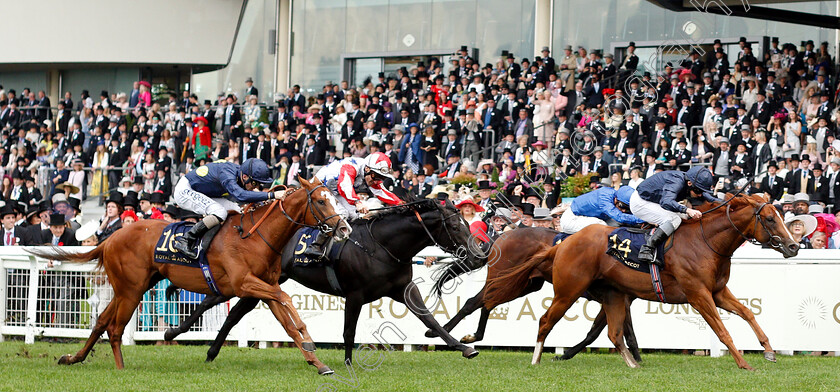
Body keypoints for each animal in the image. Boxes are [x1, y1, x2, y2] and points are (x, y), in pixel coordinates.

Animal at [26, 178, 348, 370]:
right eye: (321, 201)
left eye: (334, 198)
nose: (344, 227)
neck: (256, 236)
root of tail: (111, 237)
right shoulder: (245, 284)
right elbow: (286, 299)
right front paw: (310, 341)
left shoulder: (261, 287)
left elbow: (288, 323)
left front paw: (317, 362)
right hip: (131, 289)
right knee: (115, 328)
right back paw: (120, 369)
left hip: (131, 286)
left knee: (102, 322)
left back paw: (73, 357)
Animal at [162, 199, 482, 368]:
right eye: (455, 226)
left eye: (468, 223)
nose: (478, 253)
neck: (380, 245)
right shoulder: (355, 294)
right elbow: (349, 331)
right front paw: (349, 362)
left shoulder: (403, 290)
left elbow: (430, 318)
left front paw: (464, 347)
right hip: (252, 279)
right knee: (212, 300)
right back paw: (174, 332)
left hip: (261, 282)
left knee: (233, 313)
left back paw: (210, 351)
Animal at [430, 227, 640, 362]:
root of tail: (502, 234)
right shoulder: (619, 299)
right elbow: (598, 333)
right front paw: (564, 355)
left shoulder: (619, 300)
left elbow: (609, 331)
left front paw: (636, 358)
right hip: (503, 278)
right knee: (477, 302)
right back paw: (444, 332)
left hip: (523, 284)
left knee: (483, 303)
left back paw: (462, 335)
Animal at [482, 194, 796, 370]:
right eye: (770, 219)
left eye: (781, 216)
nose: (793, 247)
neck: (705, 241)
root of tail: (563, 243)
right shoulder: (698, 294)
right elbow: (722, 330)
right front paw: (744, 363)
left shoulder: (717, 291)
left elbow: (748, 313)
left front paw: (769, 351)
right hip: (568, 291)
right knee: (545, 320)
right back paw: (535, 360)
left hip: (612, 295)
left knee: (613, 333)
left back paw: (633, 364)